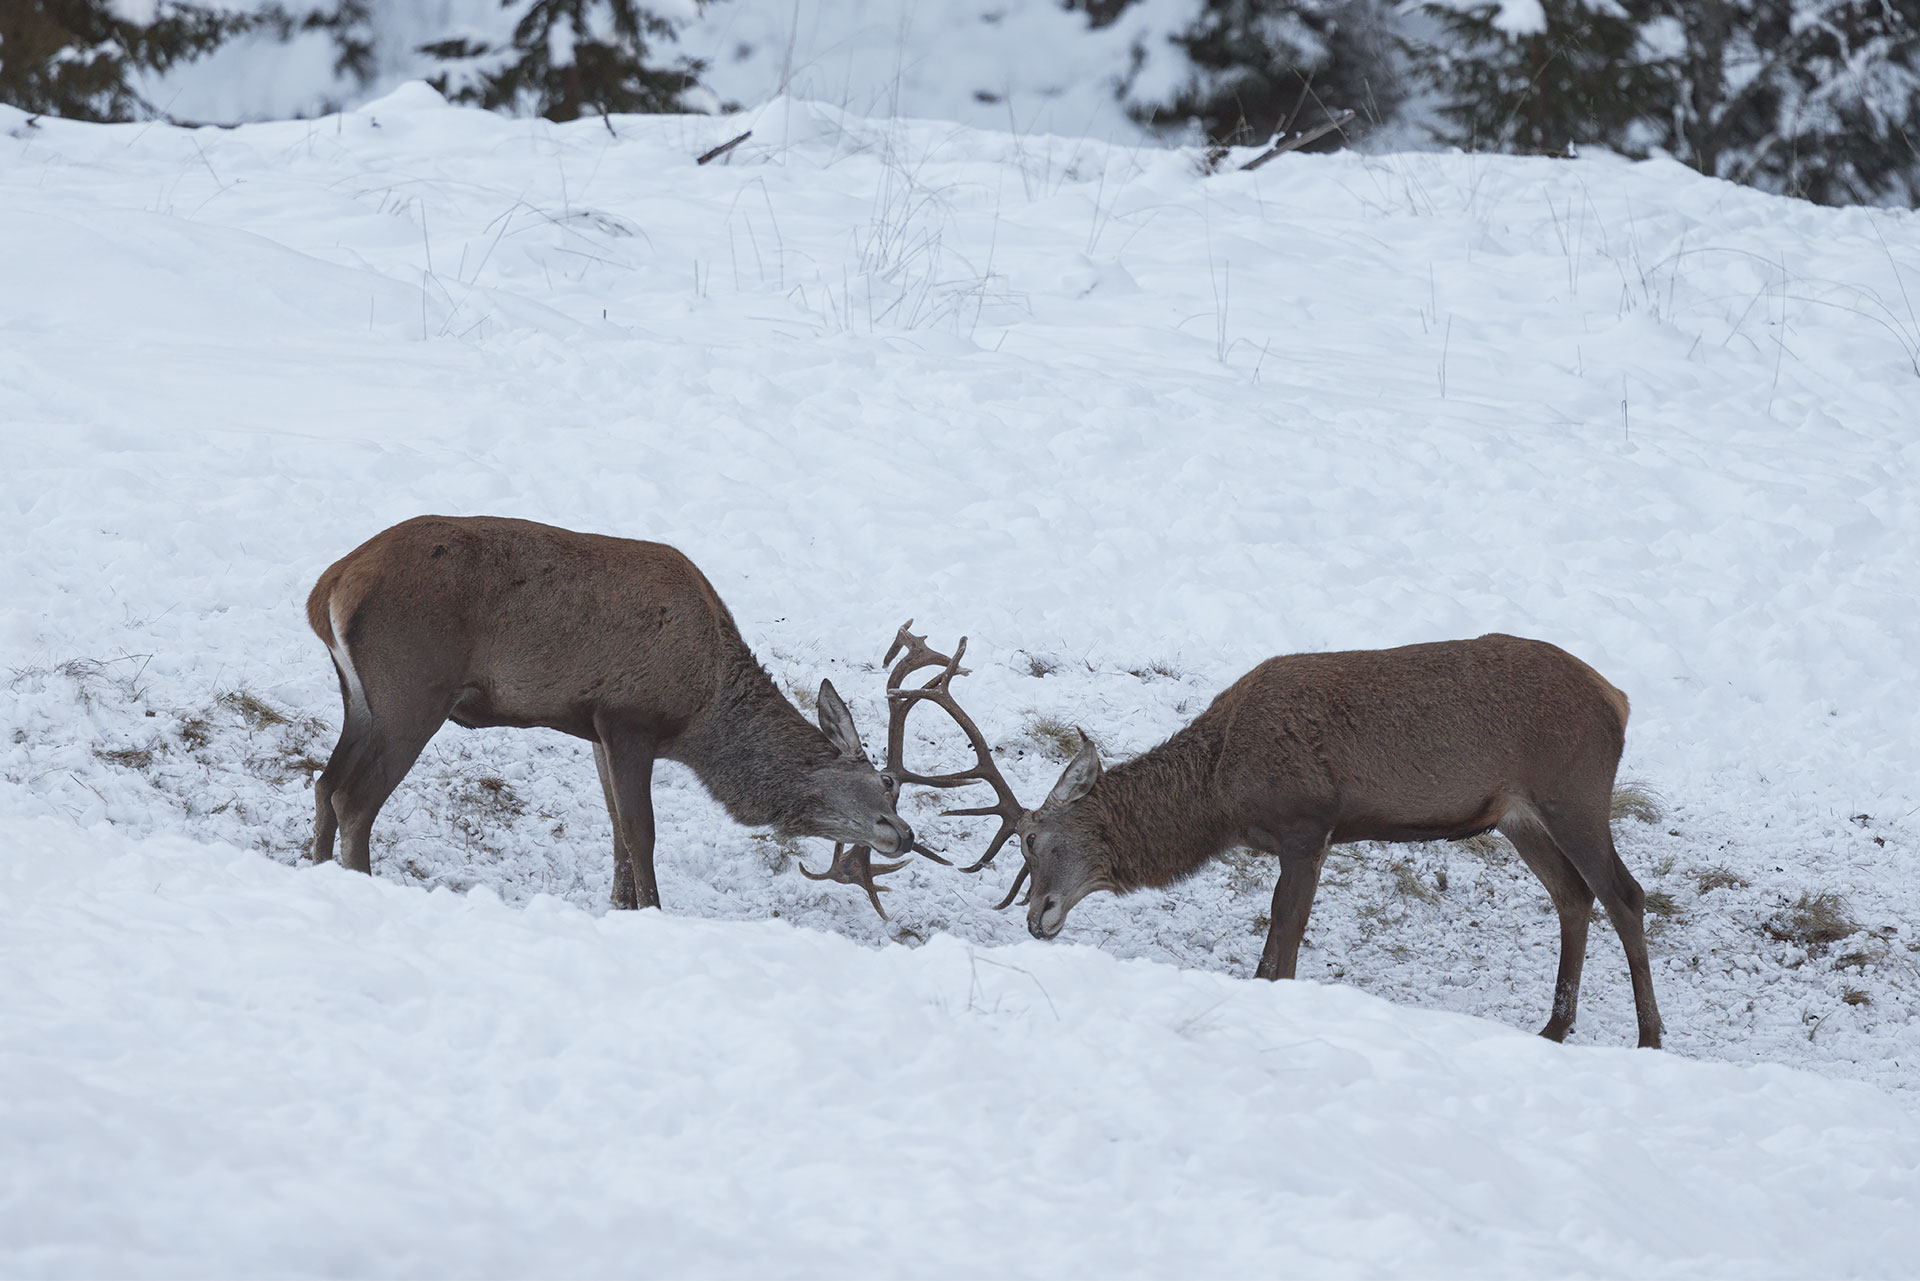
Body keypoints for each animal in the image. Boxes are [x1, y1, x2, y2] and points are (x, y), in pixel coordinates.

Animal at [305, 515, 916, 910]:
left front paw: (620, 904)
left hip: (359, 696)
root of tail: (326, 590)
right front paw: (652, 909)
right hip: (412, 688)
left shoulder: (596, 727)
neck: (703, 710)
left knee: (324, 782)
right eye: (883, 782)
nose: (905, 835)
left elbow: (616, 826)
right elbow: (641, 831)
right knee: (353, 798)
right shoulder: (630, 718)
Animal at [874, 625, 1663, 1049]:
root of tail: (1619, 699)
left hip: (1574, 791)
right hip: (1517, 815)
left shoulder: (1308, 825)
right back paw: (1553, 1028)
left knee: (1625, 894)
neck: (1220, 793)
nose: (1037, 917)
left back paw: (1650, 1036)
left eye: (1035, 840)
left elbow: (1279, 948)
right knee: (1573, 897)